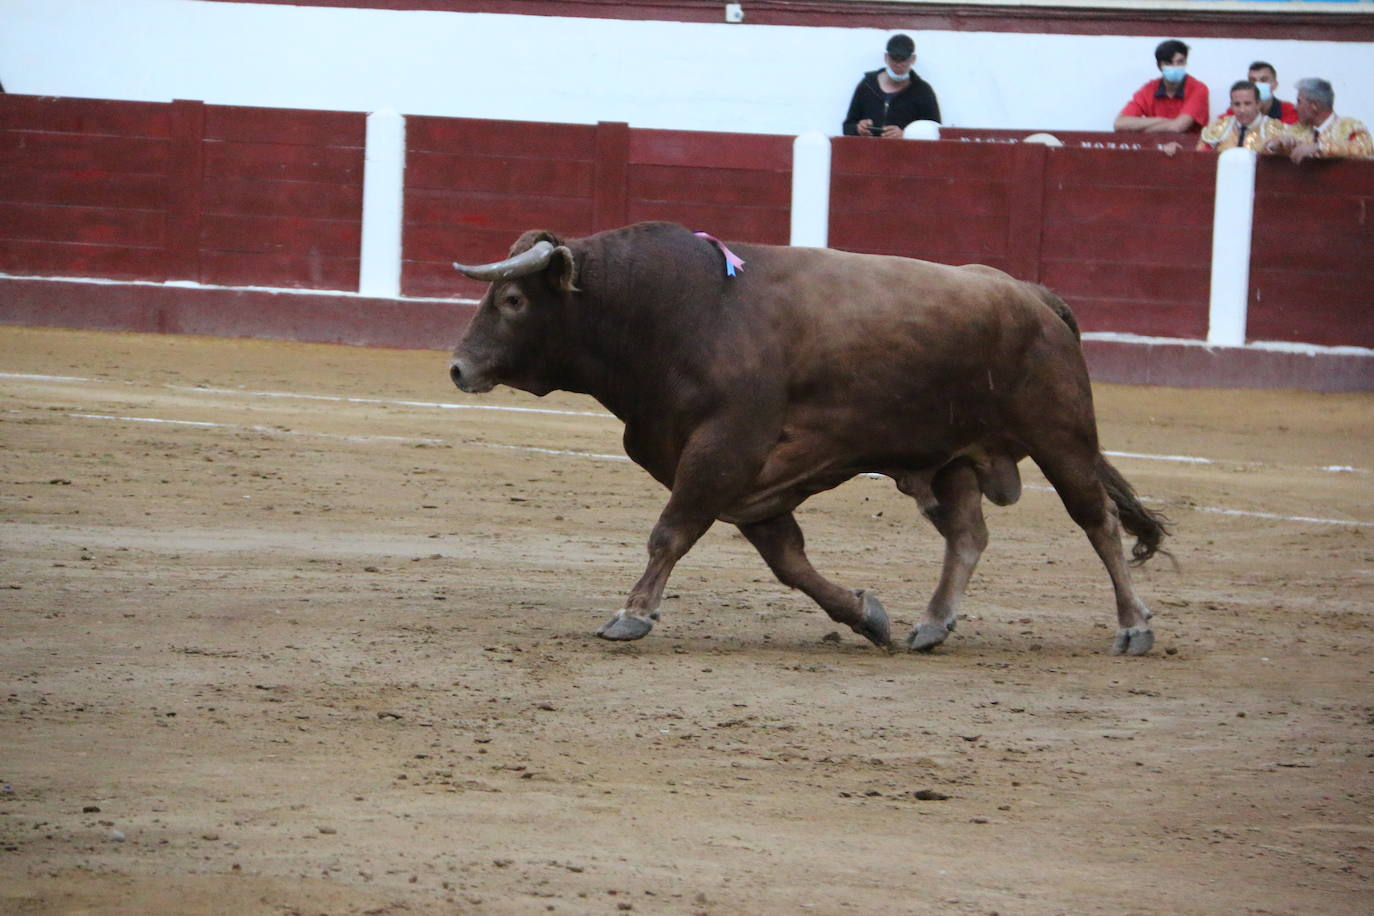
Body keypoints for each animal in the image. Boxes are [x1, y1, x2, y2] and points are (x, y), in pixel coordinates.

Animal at [450, 219, 1170, 656]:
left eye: (512, 300)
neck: (671, 310)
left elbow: (671, 532)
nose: (458, 367)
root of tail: (1033, 295)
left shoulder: (723, 449)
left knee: (1098, 522)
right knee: (968, 535)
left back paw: (1133, 627)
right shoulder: (740, 476)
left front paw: (632, 615)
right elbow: (788, 561)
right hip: (952, 458)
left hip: (1061, 436)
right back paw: (931, 625)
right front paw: (867, 615)